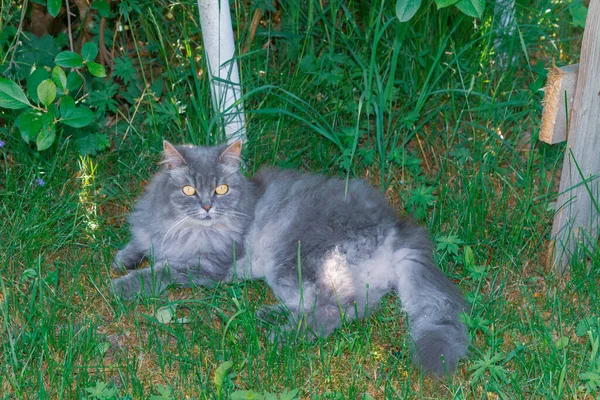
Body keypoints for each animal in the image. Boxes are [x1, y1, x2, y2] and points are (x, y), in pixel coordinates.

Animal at [111, 141, 468, 376]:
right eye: (188, 190)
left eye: (222, 188)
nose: (207, 206)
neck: (186, 229)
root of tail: (396, 225)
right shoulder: (155, 234)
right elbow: (141, 245)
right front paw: (123, 258)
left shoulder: (209, 266)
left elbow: (159, 272)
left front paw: (123, 286)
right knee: (339, 304)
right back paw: (266, 315)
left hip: (297, 261)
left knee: (337, 309)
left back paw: (281, 335)